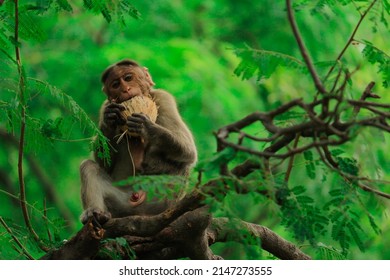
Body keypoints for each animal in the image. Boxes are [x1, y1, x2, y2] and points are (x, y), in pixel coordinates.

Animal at [79, 59, 197, 223]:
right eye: (116, 85)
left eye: (128, 78)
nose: (126, 89)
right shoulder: (105, 105)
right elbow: (105, 164)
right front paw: (109, 119)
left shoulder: (163, 98)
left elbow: (189, 151)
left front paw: (145, 126)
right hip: (120, 205)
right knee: (88, 166)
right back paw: (95, 213)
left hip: (159, 200)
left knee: (182, 163)